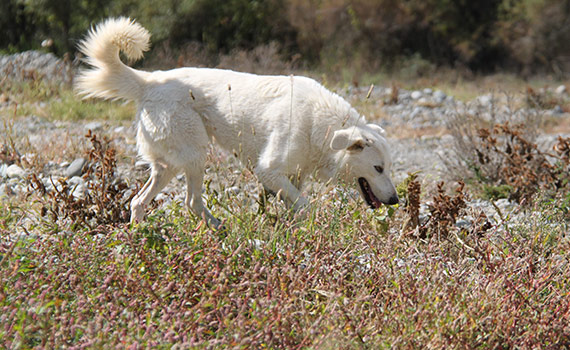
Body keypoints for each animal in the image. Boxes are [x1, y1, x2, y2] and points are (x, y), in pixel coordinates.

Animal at [74, 17, 394, 227]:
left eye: (388, 168)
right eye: (378, 168)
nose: (395, 202)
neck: (322, 126)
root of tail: (150, 81)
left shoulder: (293, 176)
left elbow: (294, 203)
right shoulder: (268, 171)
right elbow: (305, 205)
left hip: (169, 165)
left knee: (140, 201)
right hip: (196, 154)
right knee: (190, 202)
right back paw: (216, 228)